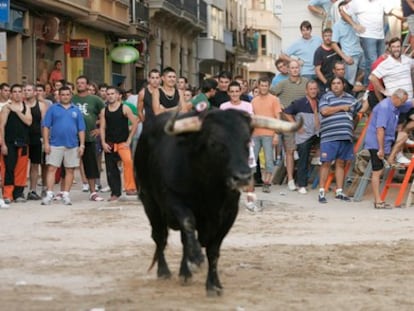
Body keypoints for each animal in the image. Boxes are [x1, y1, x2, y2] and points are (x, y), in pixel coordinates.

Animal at [134, 109, 302, 298]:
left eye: (247, 141)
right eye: (214, 143)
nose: (243, 177)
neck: (209, 189)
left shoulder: (228, 214)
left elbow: (213, 251)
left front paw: (213, 285)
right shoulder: (174, 200)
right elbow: (188, 223)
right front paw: (196, 257)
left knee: (181, 239)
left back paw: (185, 273)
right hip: (150, 203)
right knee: (160, 237)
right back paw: (164, 271)